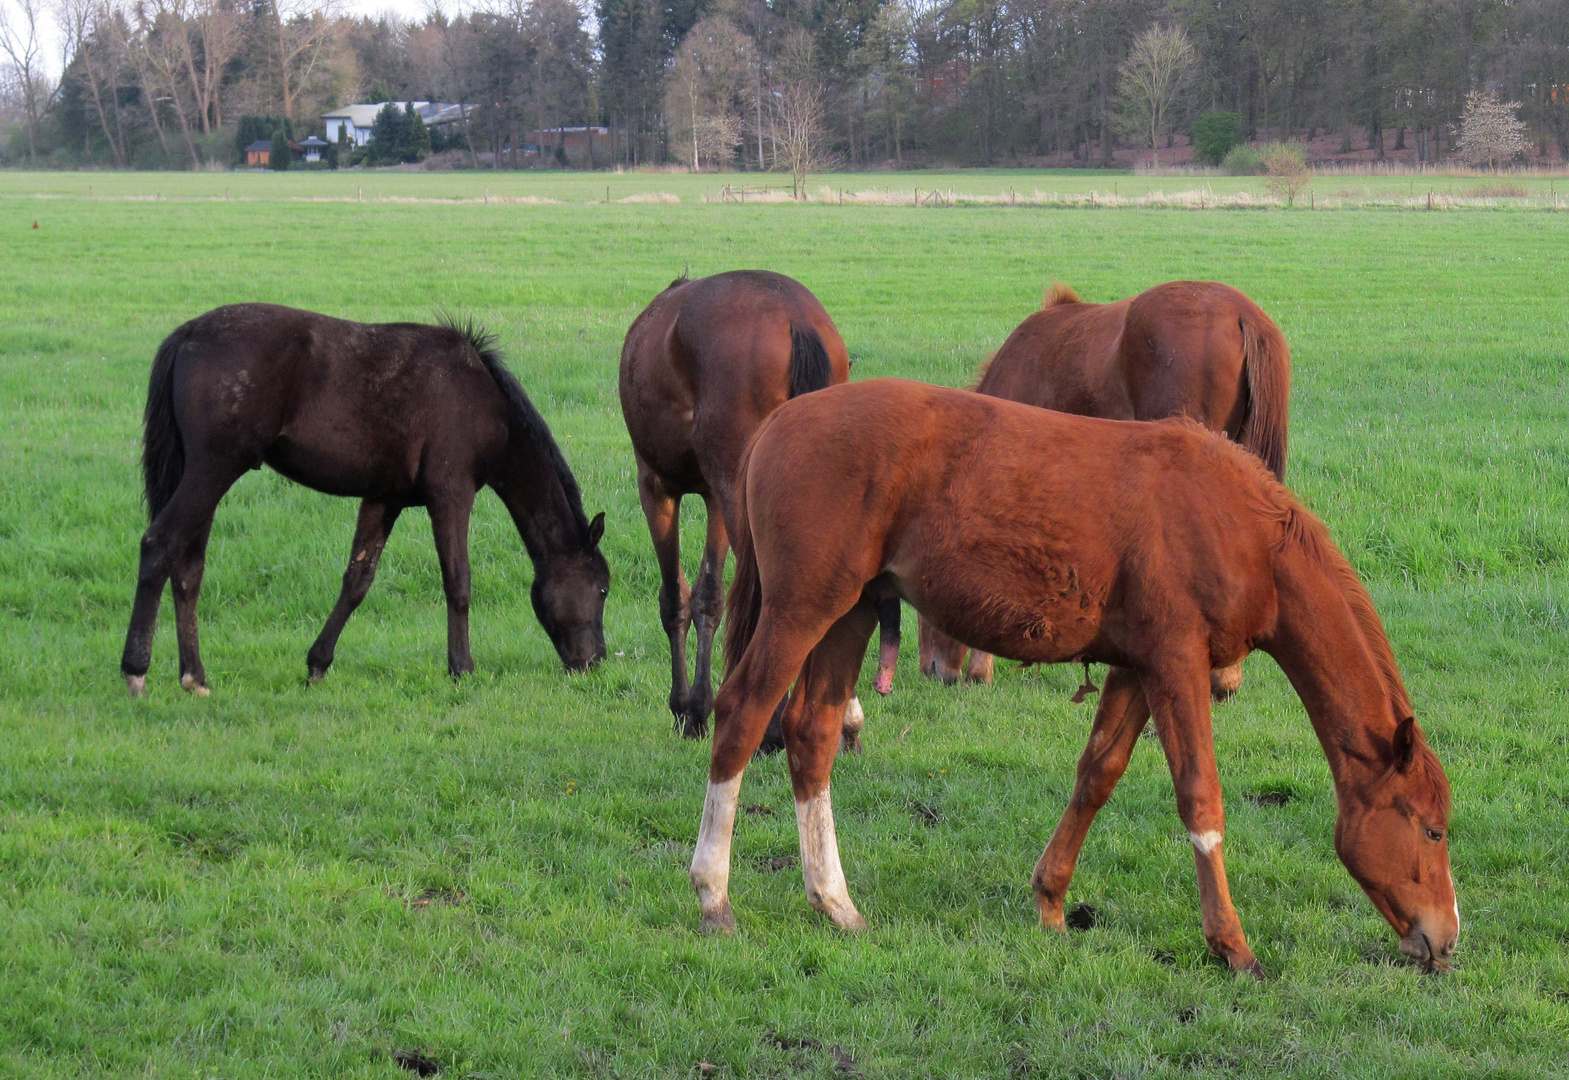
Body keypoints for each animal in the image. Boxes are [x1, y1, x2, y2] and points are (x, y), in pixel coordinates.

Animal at [119, 301, 608, 700]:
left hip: (201, 474)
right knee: (159, 544)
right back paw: (136, 670)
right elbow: (458, 581)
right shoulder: (451, 494)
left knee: (188, 567)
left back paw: (195, 677)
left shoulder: (383, 498)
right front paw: (462, 669)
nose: (596, 662)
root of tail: (189, 332)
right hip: (214, 468)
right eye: (602, 588)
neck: (484, 399)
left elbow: (357, 580)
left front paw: (317, 664)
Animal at [618, 270, 897, 747]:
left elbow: (675, 599)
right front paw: (698, 707)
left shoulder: (657, 488)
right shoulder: (715, 496)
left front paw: (686, 708)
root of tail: (794, 316)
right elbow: (708, 597)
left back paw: (770, 724)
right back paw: (842, 718)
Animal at [696, 381, 1456, 979]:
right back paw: (713, 895)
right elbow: (1200, 799)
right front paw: (1231, 945)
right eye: (1431, 831)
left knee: (812, 735)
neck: (1236, 523)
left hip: (850, 611)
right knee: (740, 716)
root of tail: (777, 423)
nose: (1445, 940)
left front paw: (1051, 901)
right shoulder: (1177, 664)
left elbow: (1097, 775)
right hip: (803, 610)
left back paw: (835, 903)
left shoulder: (1136, 669)